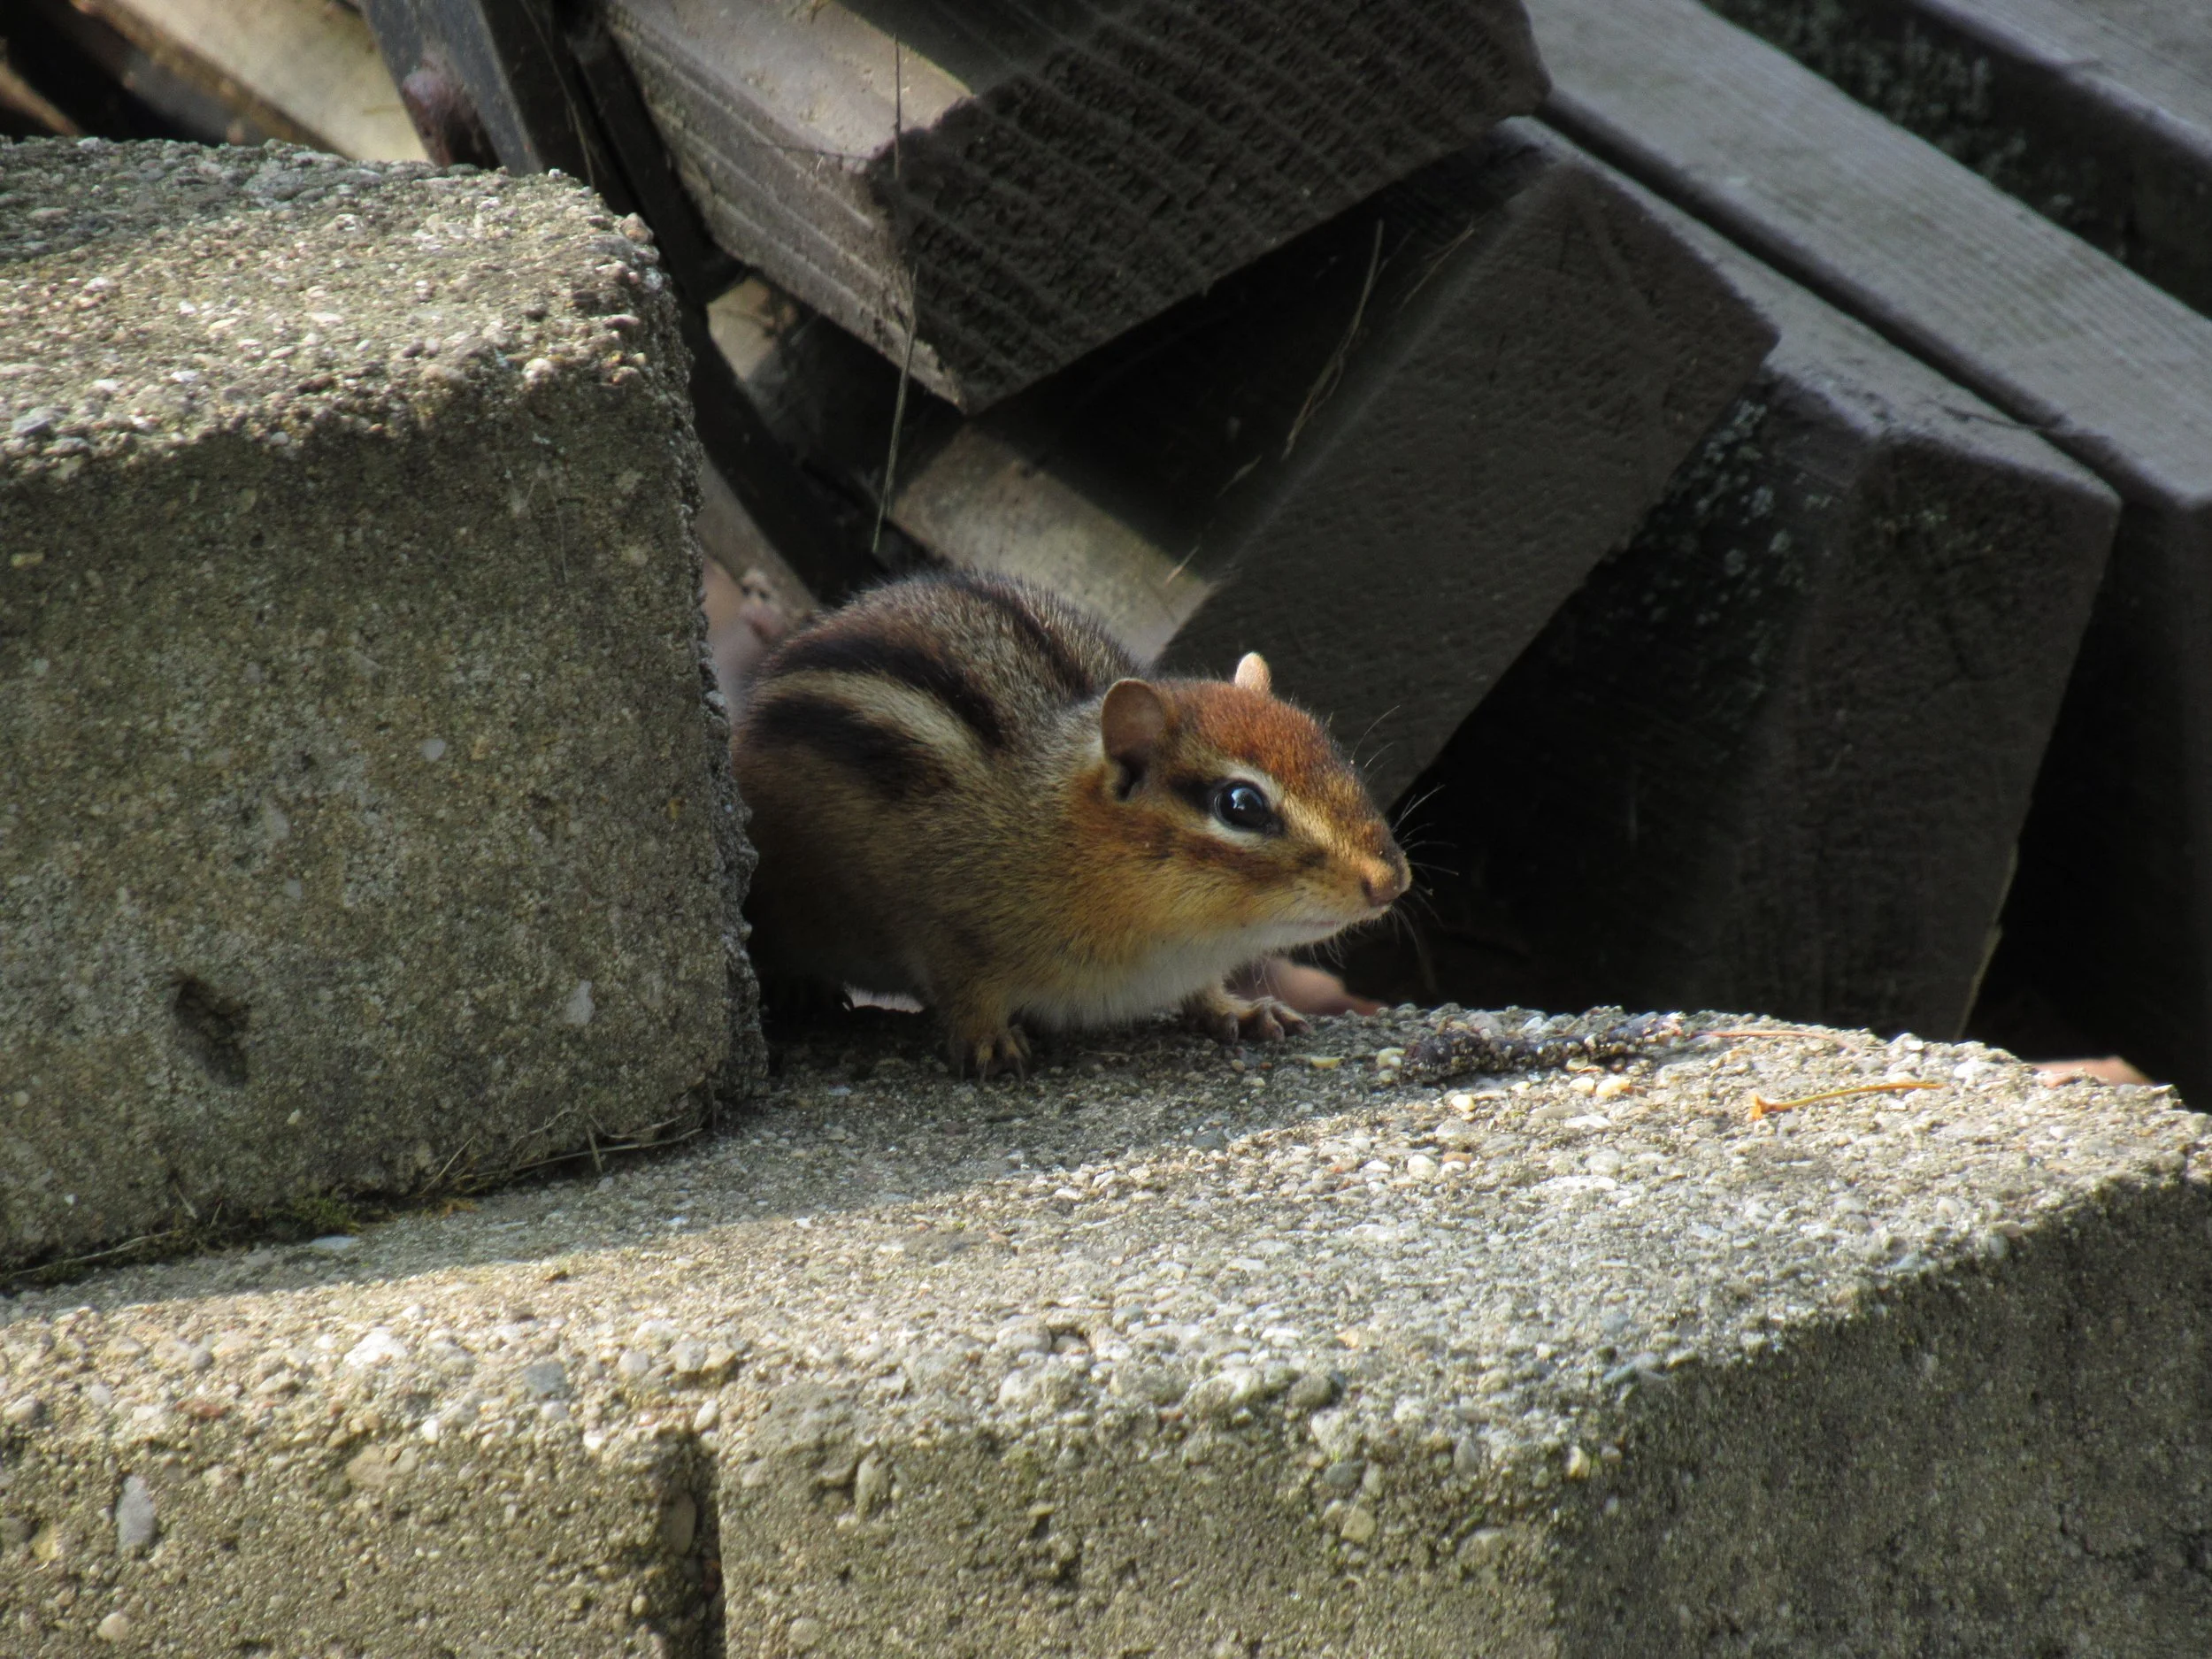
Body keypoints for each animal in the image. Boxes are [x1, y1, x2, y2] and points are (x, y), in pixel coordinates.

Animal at [730, 570, 1410, 1075]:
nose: (1390, 881)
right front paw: (987, 1041)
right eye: (1240, 805)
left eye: (1334, 750)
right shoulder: (943, 923)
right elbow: (961, 986)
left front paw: (1238, 1010)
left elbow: (1207, 993)